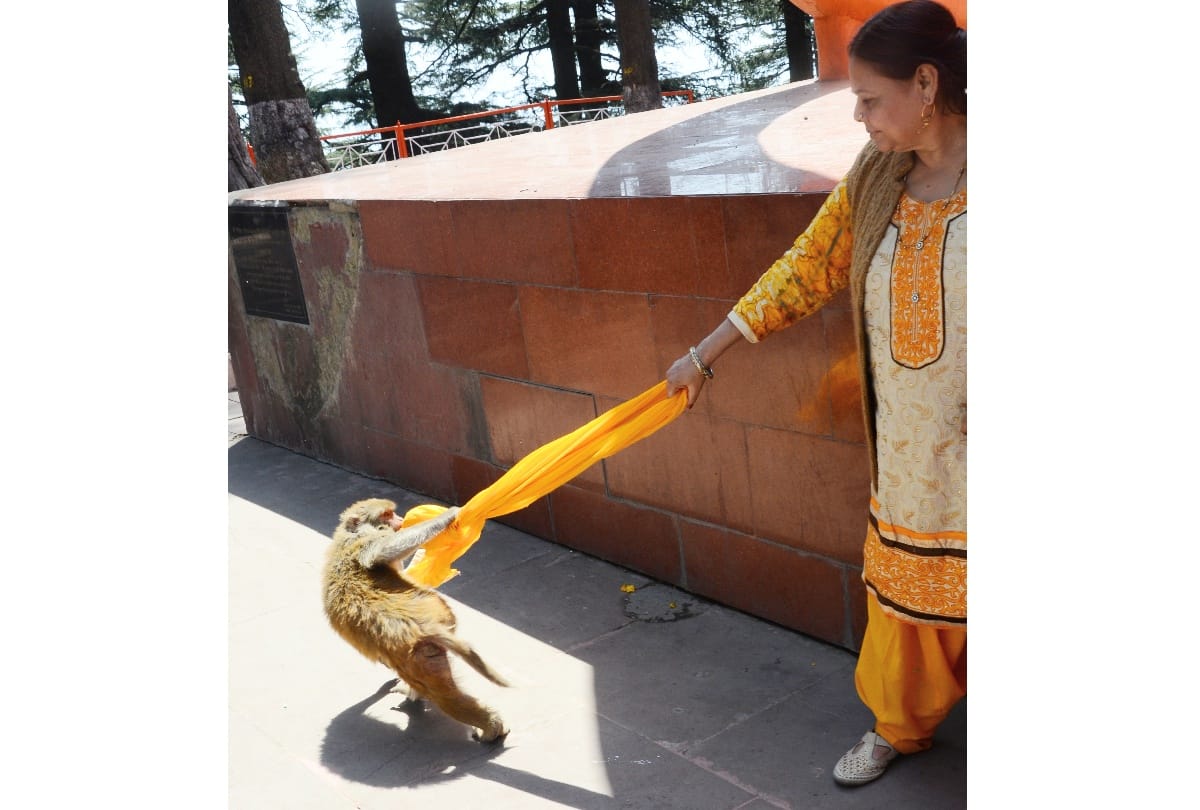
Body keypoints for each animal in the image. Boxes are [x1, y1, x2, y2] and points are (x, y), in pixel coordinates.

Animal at [322, 498, 509, 742]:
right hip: (422, 654)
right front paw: (450, 515)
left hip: (420, 654)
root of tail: (425, 627)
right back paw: (490, 726)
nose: (400, 520)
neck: (347, 533)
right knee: (444, 696)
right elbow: (381, 552)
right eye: (387, 514)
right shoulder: (367, 540)